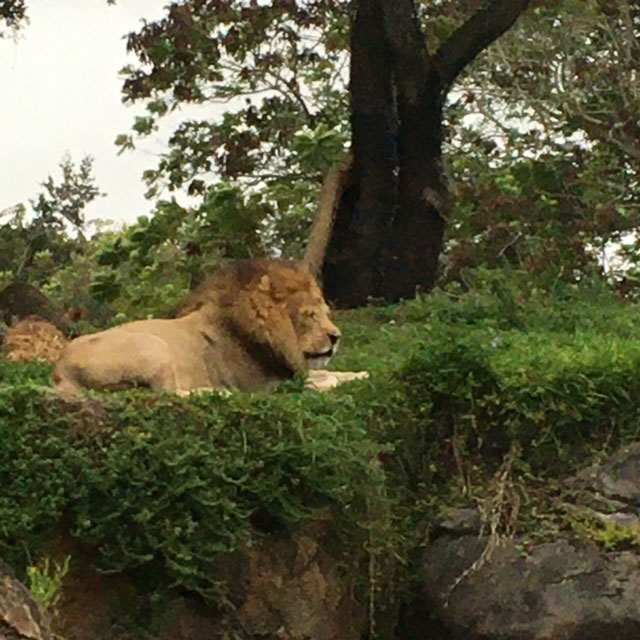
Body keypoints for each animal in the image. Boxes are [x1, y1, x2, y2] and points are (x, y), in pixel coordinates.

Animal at [52, 258, 364, 398]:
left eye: (326, 313)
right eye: (308, 315)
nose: (336, 337)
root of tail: (59, 369)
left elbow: (330, 371)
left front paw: (360, 373)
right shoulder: (265, 387)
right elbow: (321, 379)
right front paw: (340, 380)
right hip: (154, 346)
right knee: (167, 393)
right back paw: (216, 393)